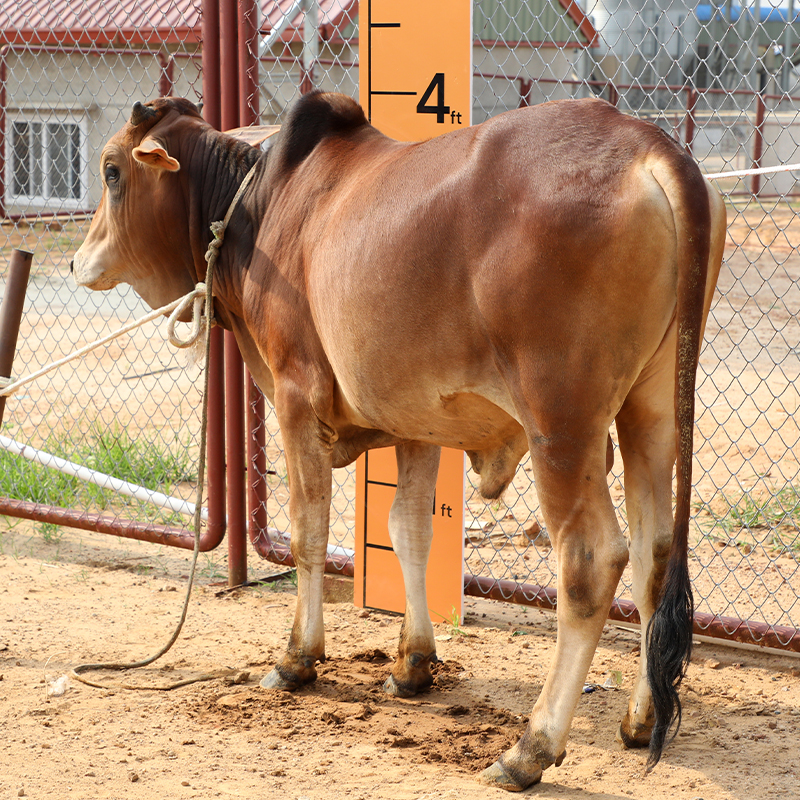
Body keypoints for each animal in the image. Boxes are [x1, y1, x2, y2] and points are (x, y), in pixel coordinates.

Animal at [72, 92, 726, 791]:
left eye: (111, 171)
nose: (76, 261)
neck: (261, 205)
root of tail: (646, 144)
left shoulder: (297, 396)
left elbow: (308, 531)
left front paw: (298, 659)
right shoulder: (419, 424)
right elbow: (409, 530)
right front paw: (413, 664)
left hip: (562, 424)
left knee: (592, 560)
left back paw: (531, 747)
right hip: (650, 411)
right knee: (656, 554)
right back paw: (639, 719)